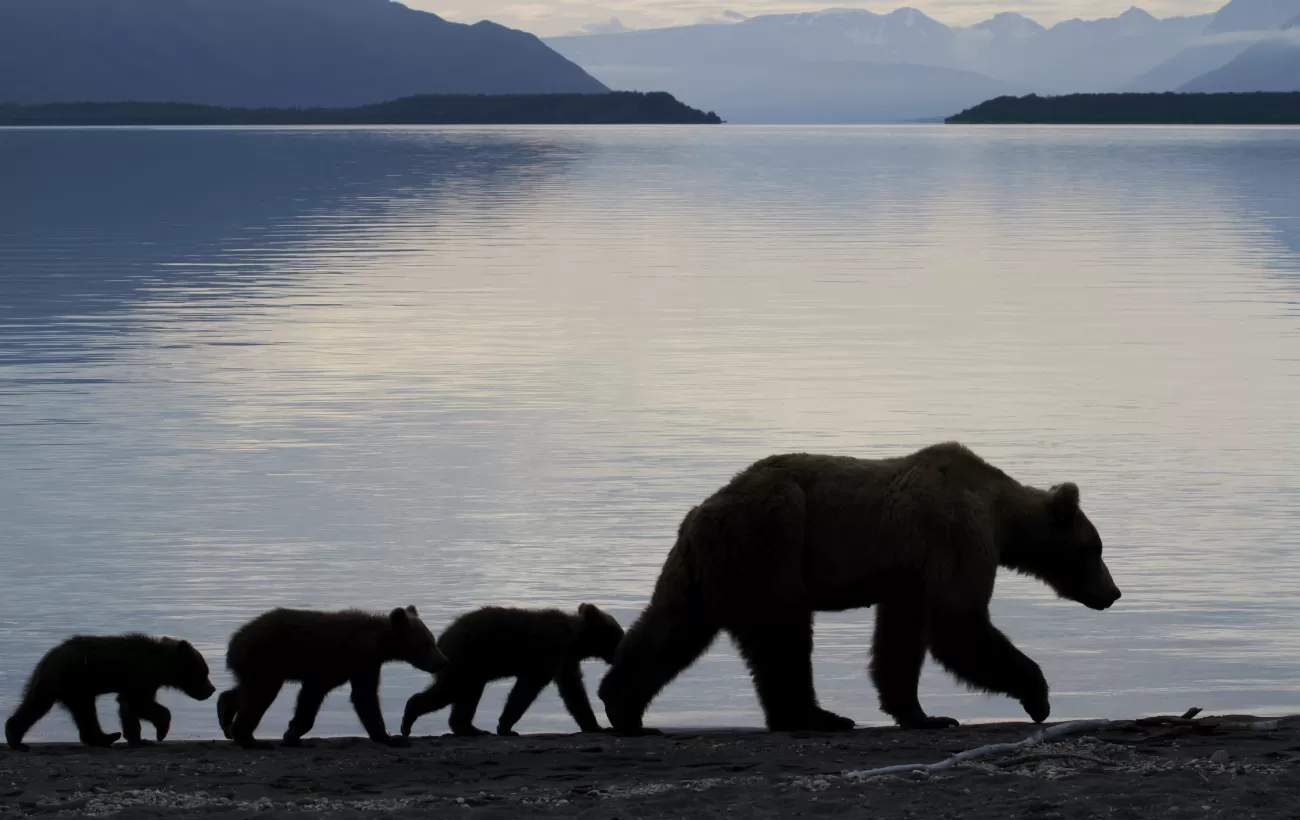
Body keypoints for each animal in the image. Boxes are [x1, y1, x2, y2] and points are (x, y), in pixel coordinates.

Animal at [598, 447, 1118, 732]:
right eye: (1094, 547)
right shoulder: (956, 538)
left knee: (671, 626)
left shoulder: (909, 575)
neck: (999, 514)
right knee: (784, 636)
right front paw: (1038, 695)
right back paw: (815, 716)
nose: (1112, 593)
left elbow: (902, 639)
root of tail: (702, 511)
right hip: (772, 542)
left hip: (704, 568)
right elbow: (959, 622)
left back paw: (621, 703)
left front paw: (920, 713)